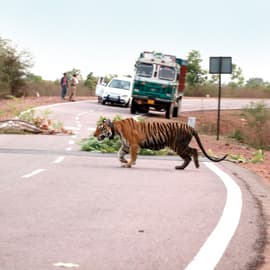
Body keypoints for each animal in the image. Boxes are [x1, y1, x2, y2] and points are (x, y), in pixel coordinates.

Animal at [93, 117, 228, 170]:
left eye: (100, 128)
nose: (94, 135)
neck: (116, 129)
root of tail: (190, 127)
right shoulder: (126, 146)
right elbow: (119, 154)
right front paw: (124, 161)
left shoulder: (133, 145)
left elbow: (132, 156)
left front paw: (129, 163)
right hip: (179, 146)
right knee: (189, 156)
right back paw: (180, 167)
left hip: (178, 145)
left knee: (194, 151)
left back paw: (197, 165)